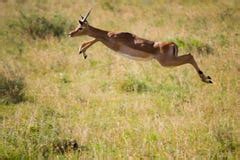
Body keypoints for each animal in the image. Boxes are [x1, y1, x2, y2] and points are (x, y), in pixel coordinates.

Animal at [68, 9, 212, 84]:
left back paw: (206, 79)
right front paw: (83, 51)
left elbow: (97, 38)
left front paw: (82, 50)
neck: (112, 34)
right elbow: (95, 38)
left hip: (167, 62)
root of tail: (173, 44)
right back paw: (207, 78)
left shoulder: (112, 43)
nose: (70, 34)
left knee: (189, 56)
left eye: (80, 28)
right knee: (190, 56)